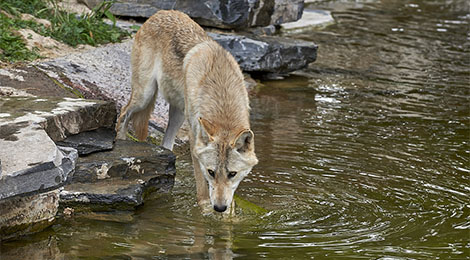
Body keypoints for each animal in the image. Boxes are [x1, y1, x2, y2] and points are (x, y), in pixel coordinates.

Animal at [115, 10, 258, 213]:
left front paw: (229, 213)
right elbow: (202, 189)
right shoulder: (194, 139)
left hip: (178, 113)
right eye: (211, 172)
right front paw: (205, 210)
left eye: (232, 173)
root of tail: (159, 13)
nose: (219, 207)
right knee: (123, 114)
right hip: (145, 95)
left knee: (166, 146)